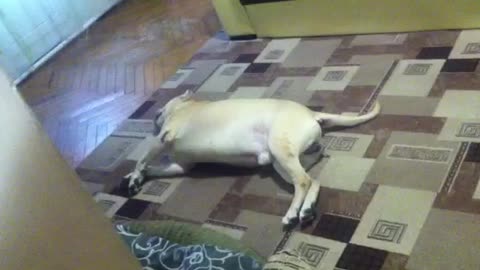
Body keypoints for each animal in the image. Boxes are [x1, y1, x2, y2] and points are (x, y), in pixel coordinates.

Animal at [125, 90, 380, 226]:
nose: (154, 113)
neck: (186, 107)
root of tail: (312, 114)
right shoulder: (181, 166)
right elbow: (153, 168)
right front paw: (137, 177)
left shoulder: (163, 137)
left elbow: (143, 159)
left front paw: (135, 175)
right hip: (282, 163)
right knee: (312, 181)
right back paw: (306, 210)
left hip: (280, 150)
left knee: (303, 182)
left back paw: (292, 214)